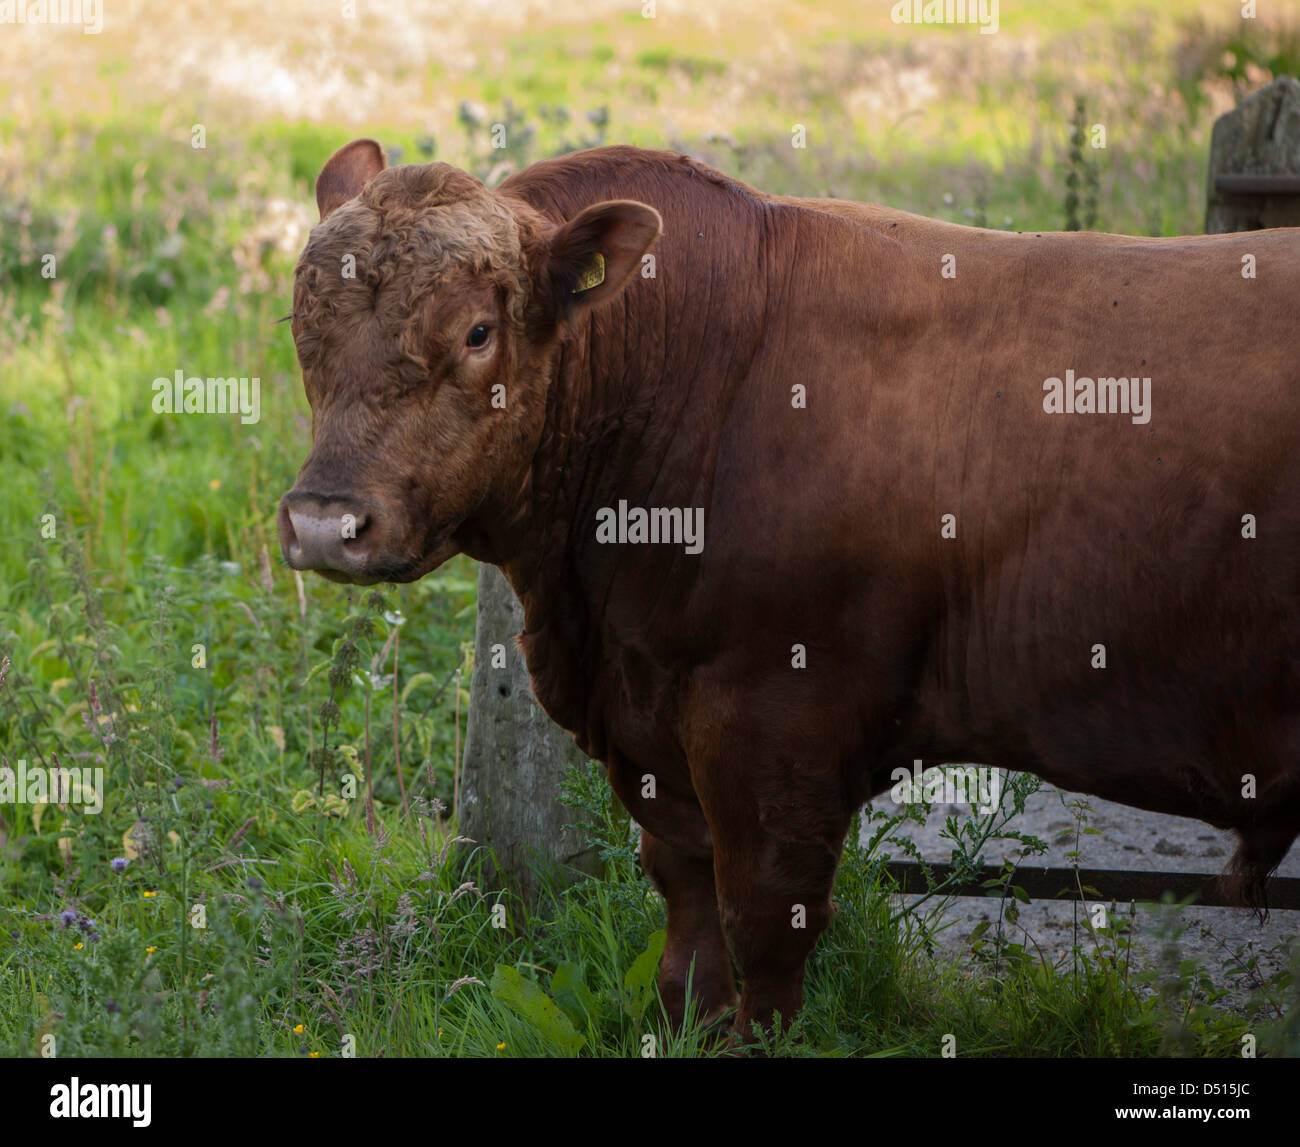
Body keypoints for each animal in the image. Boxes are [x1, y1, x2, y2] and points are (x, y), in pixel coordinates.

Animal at [276, 138, 1300, 1035]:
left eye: (478, 331)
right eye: (302, 325)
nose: (326, 522)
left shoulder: (779, 720)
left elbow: (765, 926)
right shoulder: (661, 728)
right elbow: (687, 911)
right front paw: (685, 1023)